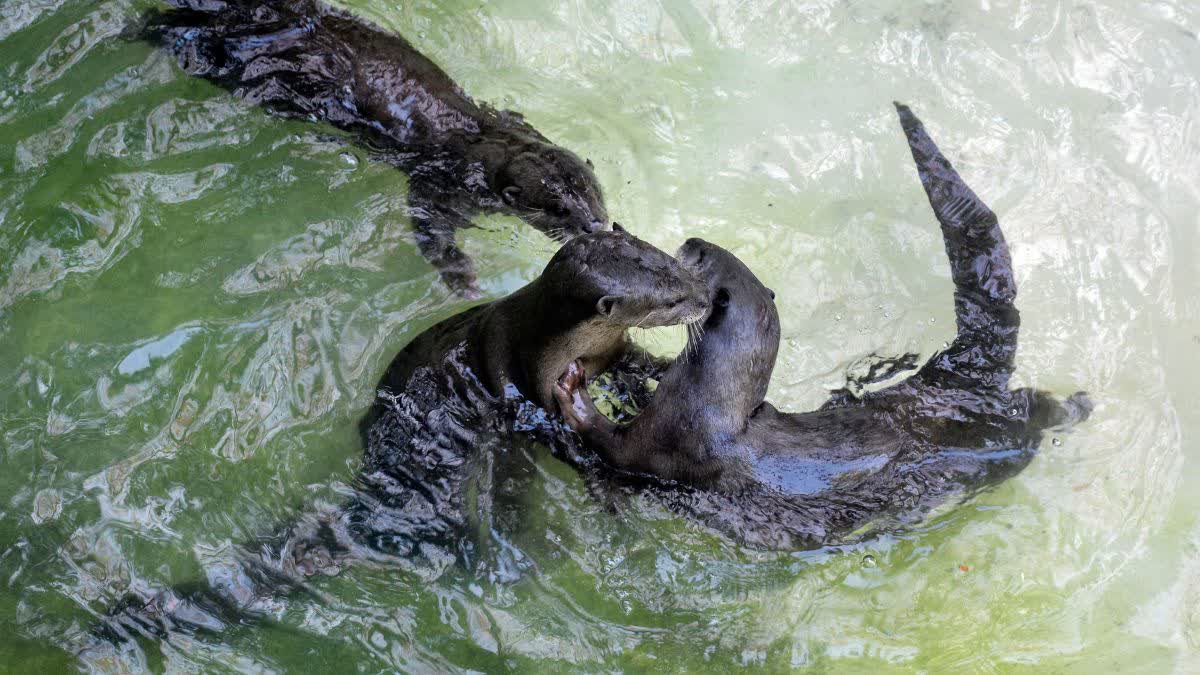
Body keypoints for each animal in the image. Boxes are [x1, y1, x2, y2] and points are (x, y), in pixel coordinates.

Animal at [142, 0, 609, 295]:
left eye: (596, 194)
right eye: (559, 209)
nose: (597, 225)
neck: (481, 142)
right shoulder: (438, 187)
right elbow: (430, 232)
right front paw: (464, 280)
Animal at [553, 104, 1091, 549]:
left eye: (699, 257)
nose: (692, 238)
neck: (708, 400)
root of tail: (962, 375)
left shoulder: (668, 443)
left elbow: (611, 443)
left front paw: (575, 393)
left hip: (1004, 434)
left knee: (1033, 412)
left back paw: (1078, 405)